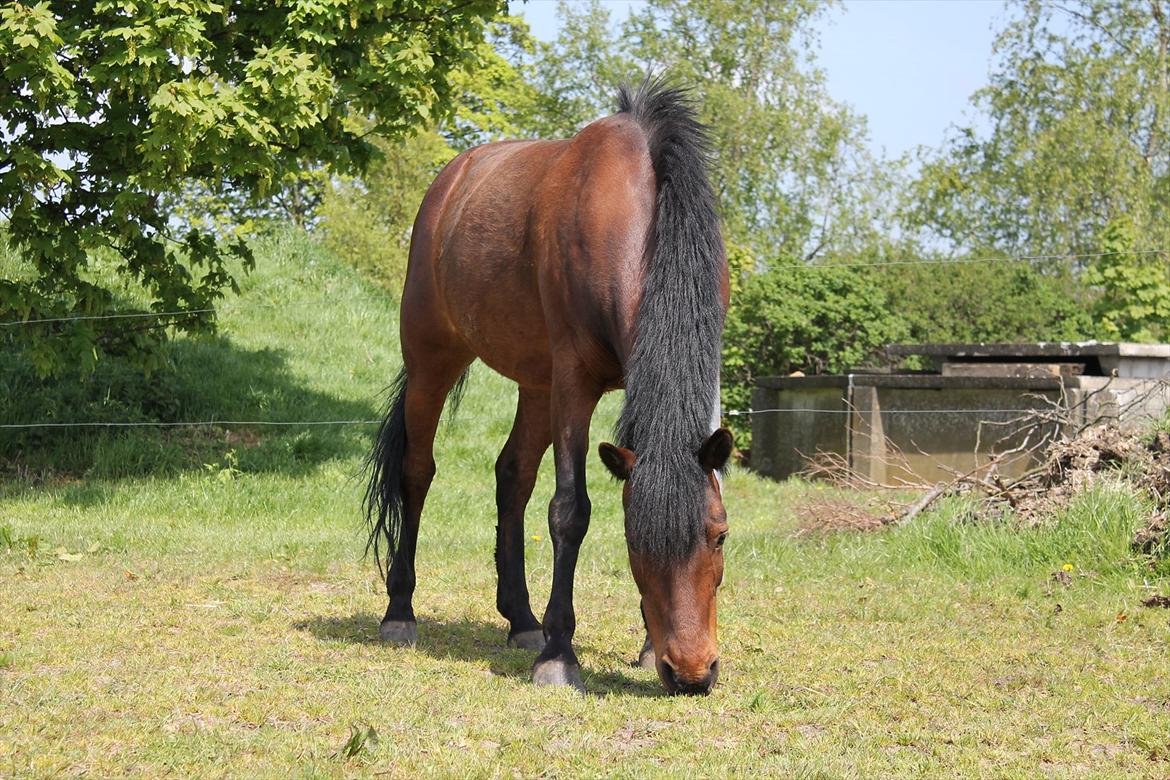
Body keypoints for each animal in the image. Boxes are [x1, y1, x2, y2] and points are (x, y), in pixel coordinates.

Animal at [365, 82, 730, 696]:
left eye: (720, 536)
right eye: (634, 541)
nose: (691, 673)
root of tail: (451, 180)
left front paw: (643, 645)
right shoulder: (574, 380)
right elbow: (569, 511)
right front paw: (560, 655)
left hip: (536, 384)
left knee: (512, 476)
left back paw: (520, 619)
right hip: (433, 360)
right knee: (417, 471)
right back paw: (400, 613)